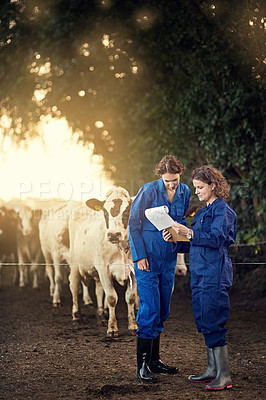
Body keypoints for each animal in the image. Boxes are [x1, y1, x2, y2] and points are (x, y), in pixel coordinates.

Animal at [67, 188, 138, 338]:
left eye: (127, 210)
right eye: (105, 212)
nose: (113, 234)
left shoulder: (134, 270)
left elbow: (130, 297)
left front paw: (133, 326)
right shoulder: (104, 268)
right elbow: (111, 297)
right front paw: (112, 328)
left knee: (99, 289)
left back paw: (101, 315)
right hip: (75, 263)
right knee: (74, 286)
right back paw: (76, 316)